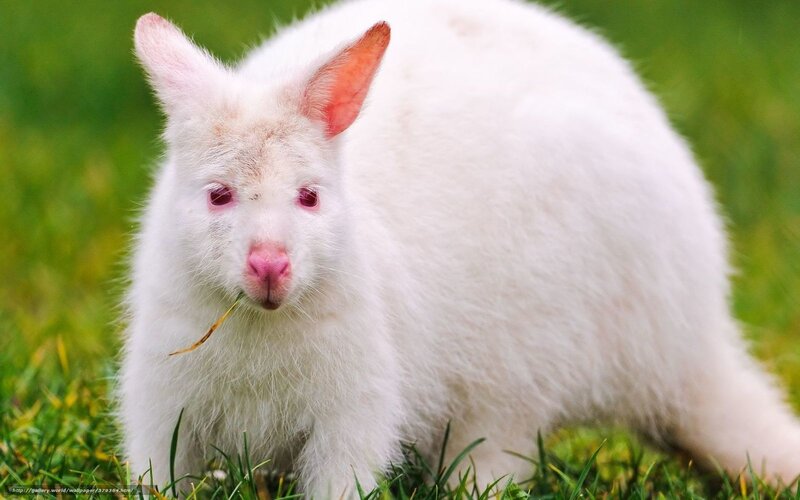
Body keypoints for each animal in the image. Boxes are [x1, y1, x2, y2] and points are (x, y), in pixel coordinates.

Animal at [119, 0, 800, 497]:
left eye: (309, 197)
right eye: (218, 195)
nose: (269, 265)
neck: (261, 322)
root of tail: (692, 345)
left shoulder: (359, 402)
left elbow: (343, 475)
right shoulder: (159, 397)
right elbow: (161, 474)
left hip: (527, 364)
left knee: (499, 455)